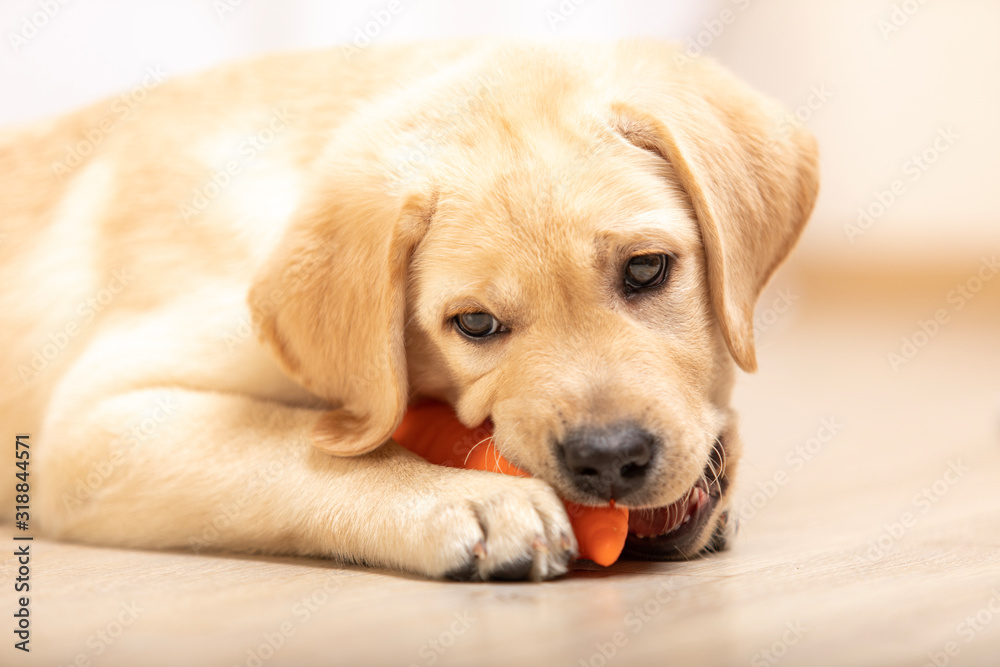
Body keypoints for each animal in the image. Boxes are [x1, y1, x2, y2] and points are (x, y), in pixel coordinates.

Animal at [0, 40, 816, 580]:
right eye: (476, 324)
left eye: (646, 268)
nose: (608, 458)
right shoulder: (90, 427)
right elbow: (297, 445)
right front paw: (471, 500)